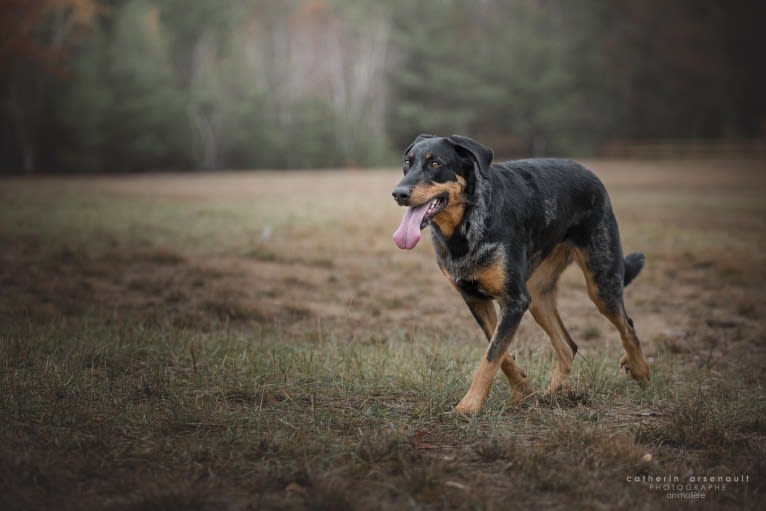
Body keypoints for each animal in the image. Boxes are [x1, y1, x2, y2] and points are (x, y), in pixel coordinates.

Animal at [392, 135, 652, 416]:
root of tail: (587, 171)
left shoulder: (515, 299)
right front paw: (523, 392)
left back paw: (640, 369)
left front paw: (469, 406)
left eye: (435, 163)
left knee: (627, 325)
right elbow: (499, 352)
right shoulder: (477, 299)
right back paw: (554, 394)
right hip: (538, 297)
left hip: (600, 281)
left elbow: (491, 356)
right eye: (407, 162)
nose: (398, 193)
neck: (466, 224)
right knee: (567, 346)